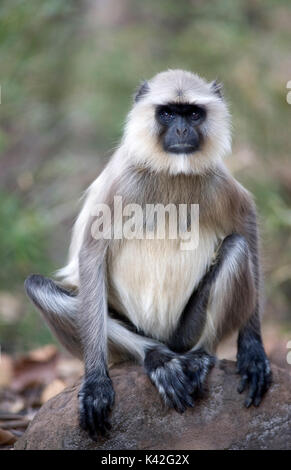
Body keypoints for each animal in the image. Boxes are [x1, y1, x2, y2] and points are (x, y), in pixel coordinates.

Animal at [24, 70, 272, 440]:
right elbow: (91, 256)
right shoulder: (123, 184)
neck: (172, 171)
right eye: (167, 113)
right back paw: (157, 358)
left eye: (192, 114)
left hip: (184, 332)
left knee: (237, 248)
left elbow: (248, 227)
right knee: (37, 286)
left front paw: (253, 348)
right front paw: (96, 382)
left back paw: (200, 356)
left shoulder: (217, 182)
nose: (181, 130)